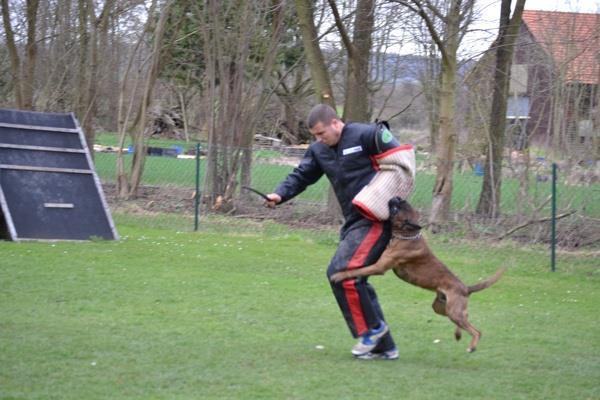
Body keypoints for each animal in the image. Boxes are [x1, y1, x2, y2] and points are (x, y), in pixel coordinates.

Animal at [330, 197, 504, 354]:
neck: (407, 234)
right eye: (400, 203)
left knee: (476, 330)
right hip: (443, 308)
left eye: (397, 208)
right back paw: (458, 334)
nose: (397, 197)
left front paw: (339, 275)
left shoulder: (379, 267)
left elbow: (357, 270)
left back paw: (472, 346)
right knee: (464, 318)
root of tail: (466, 288)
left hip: (453, 311)